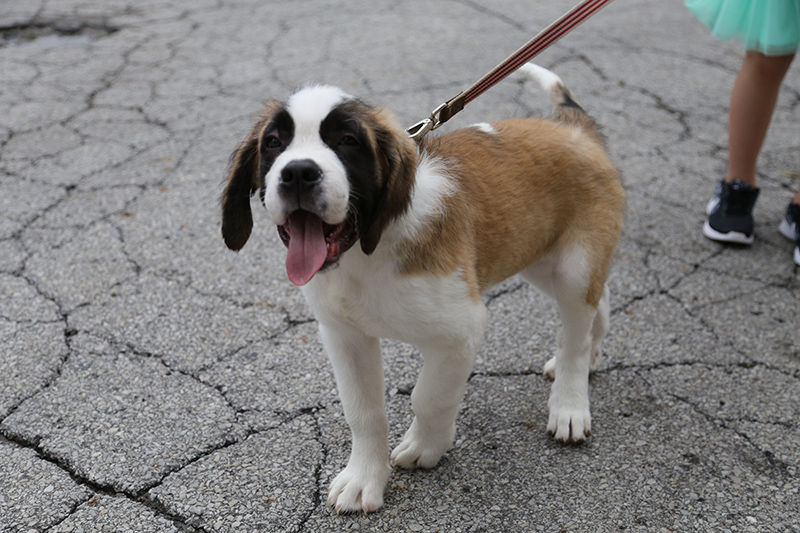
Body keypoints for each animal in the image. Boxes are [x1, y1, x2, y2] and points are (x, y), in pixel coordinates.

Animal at [220, 64, 624, 512]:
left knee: (575, 331)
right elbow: (363, 412)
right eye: (274, 143)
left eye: (347, 141)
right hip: (537, 256)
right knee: (598, 300)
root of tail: (576, 129)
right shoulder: (345, 337)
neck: (369, 251)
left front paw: (425, 446)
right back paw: (591, 357)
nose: (297, 173)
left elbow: (429, 396)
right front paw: (364, 477)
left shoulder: (461, 332)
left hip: (572, 267)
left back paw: (570, 402)